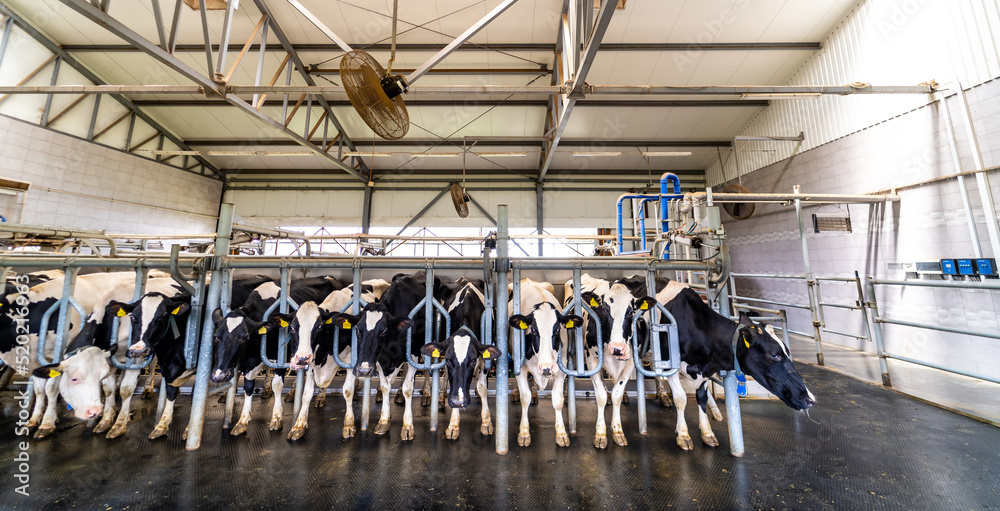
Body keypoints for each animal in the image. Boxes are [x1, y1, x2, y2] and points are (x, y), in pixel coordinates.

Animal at [209, 276, 342, 436]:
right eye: (216, 336)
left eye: (244, 337)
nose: (219, 375)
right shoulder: (249, 362)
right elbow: (248, 387)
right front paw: (242, 421)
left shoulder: (281, 357)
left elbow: (277, 385)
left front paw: (276, 419)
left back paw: (320, 396)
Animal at [332, 274, 438, 442]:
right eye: (358, 330)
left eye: (384, 330)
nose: (363, 370)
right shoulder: (380, 360)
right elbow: (386, 386)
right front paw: (384, 421)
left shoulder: (413, 354)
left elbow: (408, 388)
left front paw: (408, 426)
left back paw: (426, 394)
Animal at [512, 276, 584, 448]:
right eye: (533, 330)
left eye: (557, 330)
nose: (545, 368)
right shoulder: (520, 368)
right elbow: (525, 398)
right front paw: (523, 433)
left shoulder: (560, 369)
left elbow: (557, 400)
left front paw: (562, 433)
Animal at [656, 282, 812, 450]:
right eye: (774, 354)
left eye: (787, 351)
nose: (809, 399)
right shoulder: (669, 366)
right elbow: (681, 398)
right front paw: (683, 435)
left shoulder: (705, 371)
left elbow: (702, 398)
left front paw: (707, 433)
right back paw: (663, 396)